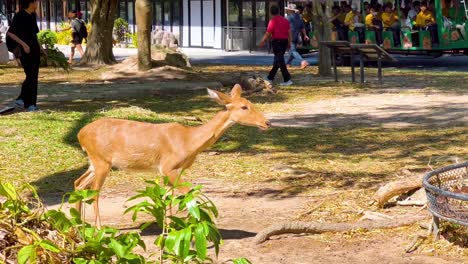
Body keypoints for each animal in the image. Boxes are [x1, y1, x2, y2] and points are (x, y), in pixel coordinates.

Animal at [73, 85, 270, 227]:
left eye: (250, 102)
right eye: (244, 106)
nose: (267, 122)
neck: (189, 140)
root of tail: (80, 134)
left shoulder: (172, 170)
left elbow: (167, 198)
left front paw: (168, 231)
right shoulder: (168, 166)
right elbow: (189, 194)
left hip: (94, 161)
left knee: (79, 183)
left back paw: (77, 225)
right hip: (101, 160)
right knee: (94, 193)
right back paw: (98, 229)